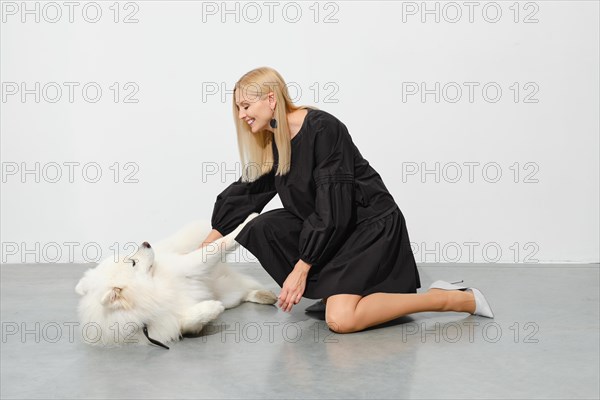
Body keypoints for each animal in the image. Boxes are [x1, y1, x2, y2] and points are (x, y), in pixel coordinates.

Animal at [74, 214, 276, 348]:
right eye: (133, 262)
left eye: (128, 258)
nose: (146, 243)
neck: (155, 289)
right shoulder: (167, 325)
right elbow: (186, 321)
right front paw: (211, 308)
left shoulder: (189, 266)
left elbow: (220, 244)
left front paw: (248, 221)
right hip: (228, 296)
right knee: (241, 293)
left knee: (245, 289)